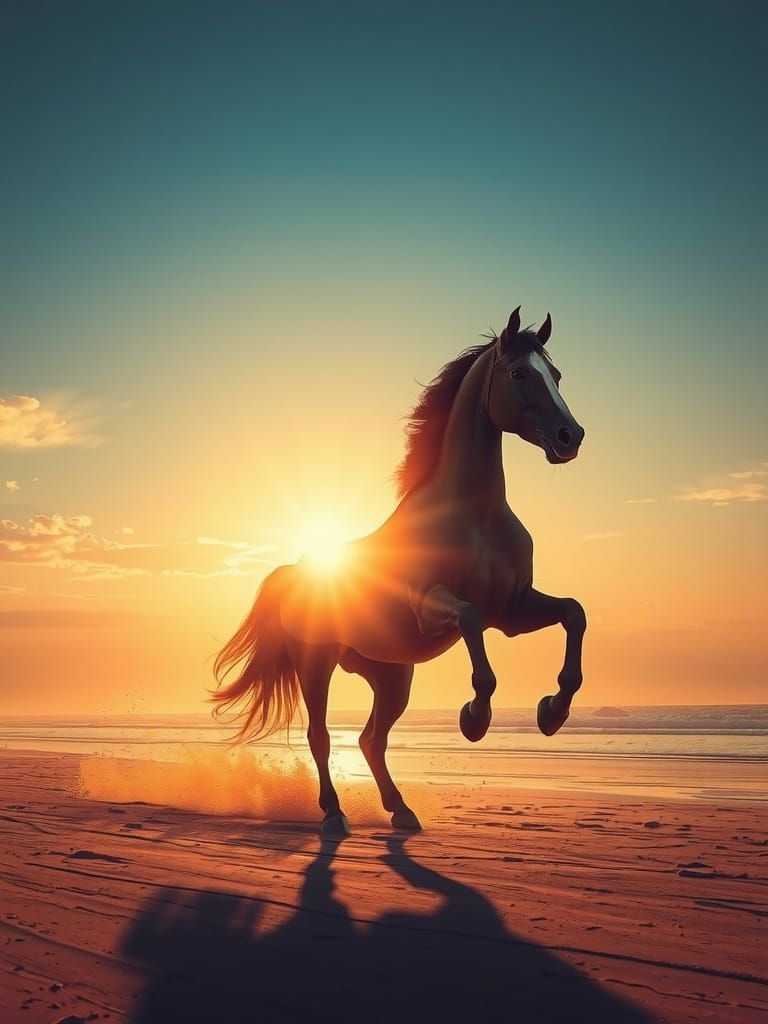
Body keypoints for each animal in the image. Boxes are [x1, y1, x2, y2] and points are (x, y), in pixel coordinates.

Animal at [212, 306, 586, 835]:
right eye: (519, 374)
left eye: (555, 375)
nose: (570, 437)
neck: (475, 517)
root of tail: (299, 571)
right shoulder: (434, 607)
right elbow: (471, 623)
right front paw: (474, 719)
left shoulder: (513, 610)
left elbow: (574, 613)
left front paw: (551, 713)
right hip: (316, 664)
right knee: (321, 735)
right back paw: (335, 815)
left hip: (391, 677)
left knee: (371, 739)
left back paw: (402, 810)